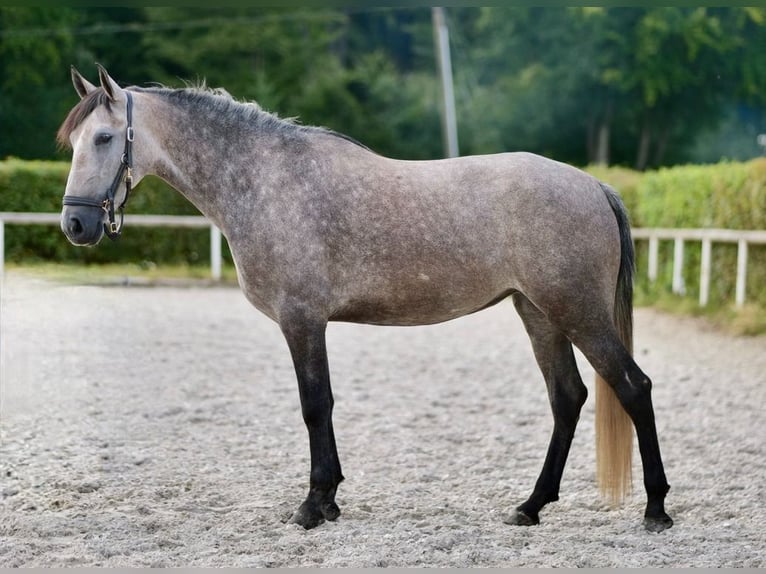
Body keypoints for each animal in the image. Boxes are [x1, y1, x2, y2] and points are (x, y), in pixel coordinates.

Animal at [58, 66, 672, 536]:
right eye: (74, 143)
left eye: (105, 139)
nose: (76, 224)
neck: (265, 181)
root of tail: (594, 186)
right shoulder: (309, 322)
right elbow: (323, 406)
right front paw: (329, 502)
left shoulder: (302, 320)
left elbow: (315, 405)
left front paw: (313, 506)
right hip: (539, 313)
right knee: (567, 398)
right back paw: (530, 506)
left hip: (577, 313)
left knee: (633, 388)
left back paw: (656, 509)